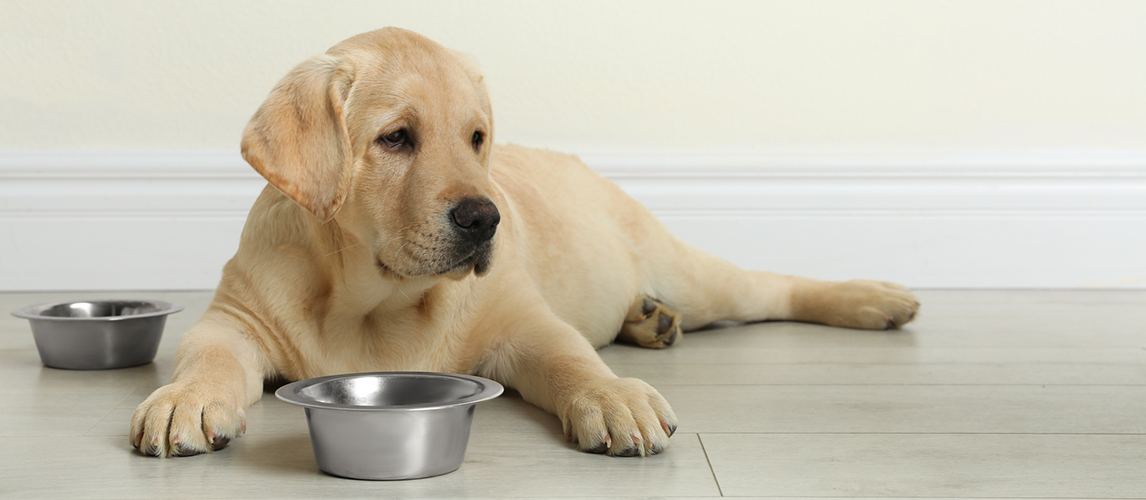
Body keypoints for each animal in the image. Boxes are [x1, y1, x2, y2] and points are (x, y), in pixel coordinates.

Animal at [131, 27, 921, 456]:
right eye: (396, 139)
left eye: (477, 138)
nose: (486, 219)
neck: (372, 300)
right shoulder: (234, 321)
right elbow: (205, 359)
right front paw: (183, 399)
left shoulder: (524, 323)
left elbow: (573, 360)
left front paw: (615, 397)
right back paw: (648, 320)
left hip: (690, 271)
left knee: (768, 287)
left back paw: (874, 298)